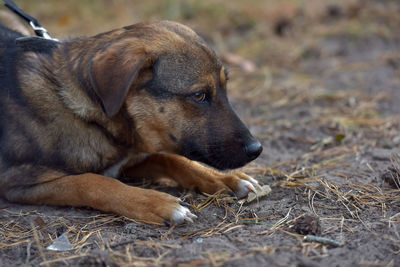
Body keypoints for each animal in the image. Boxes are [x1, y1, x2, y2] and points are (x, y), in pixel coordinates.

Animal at [0, 16, 262, 226]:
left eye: (225, 89)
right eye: (199, 95)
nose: (257, 149)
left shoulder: (128, 161)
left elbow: (170, 159)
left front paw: (225, 179)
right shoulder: (17, 180)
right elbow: (92, 182)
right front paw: (157, 203)